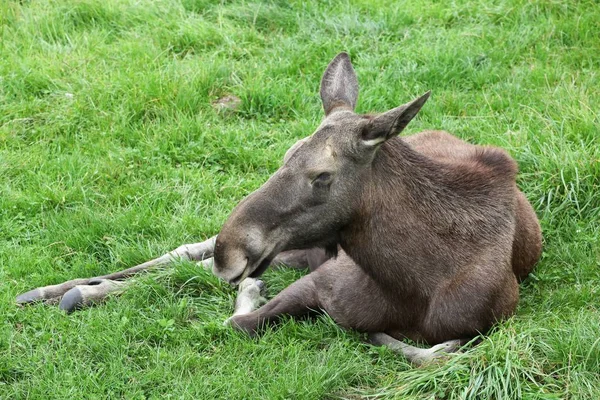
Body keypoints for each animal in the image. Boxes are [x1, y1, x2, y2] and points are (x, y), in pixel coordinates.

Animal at [16, 53, 540, 366]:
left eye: (322, 176)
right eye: (285, 154)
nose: (232, 249)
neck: (414, 283)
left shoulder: (481, 327)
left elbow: (429, 352)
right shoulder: (320, 280)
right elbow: (240, 320)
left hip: (298, 250)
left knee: (195, 265)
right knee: (184, 253)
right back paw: (58, 290)